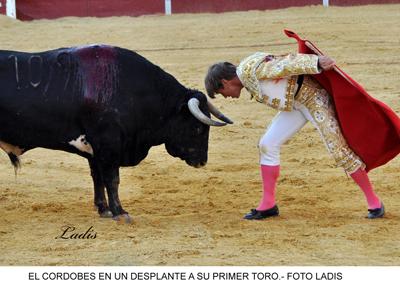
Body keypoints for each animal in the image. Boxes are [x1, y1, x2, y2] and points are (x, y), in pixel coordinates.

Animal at [0, 45, 231, 225]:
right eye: (198, 128)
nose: (202, 161)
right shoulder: (108, 145)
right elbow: (112, 179)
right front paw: (120, 212)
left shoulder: (95, 150)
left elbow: (98, 178)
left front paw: (104, 209)